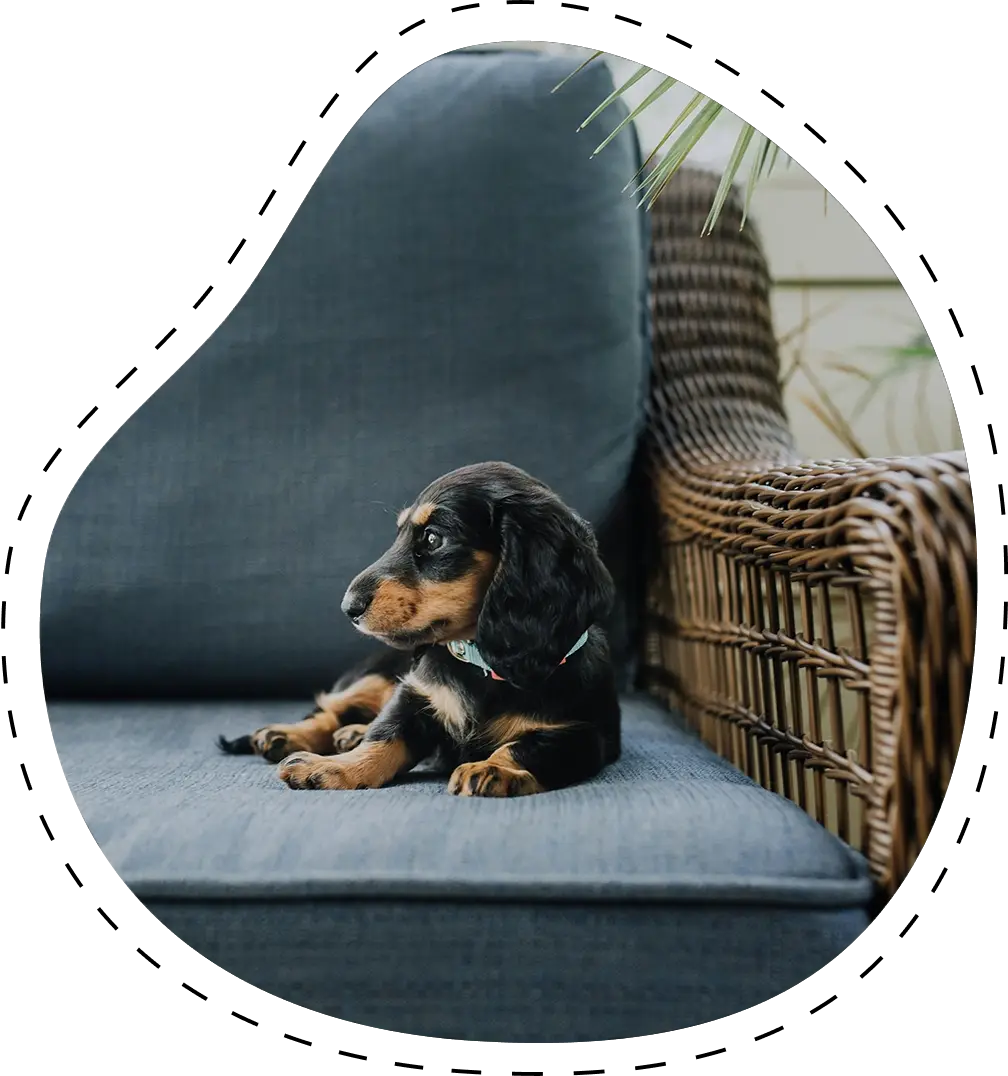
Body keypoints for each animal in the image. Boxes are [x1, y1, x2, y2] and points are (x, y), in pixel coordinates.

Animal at [216, 462, 619, 800]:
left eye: (432, 539)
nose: (348, 608)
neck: (480, 663)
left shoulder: (582, 733)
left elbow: (526, 747)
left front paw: (493, 768)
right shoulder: (415, 694)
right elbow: (384, 735)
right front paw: (334, 767)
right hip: (376, 675)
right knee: (331, 709)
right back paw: (289, 735)